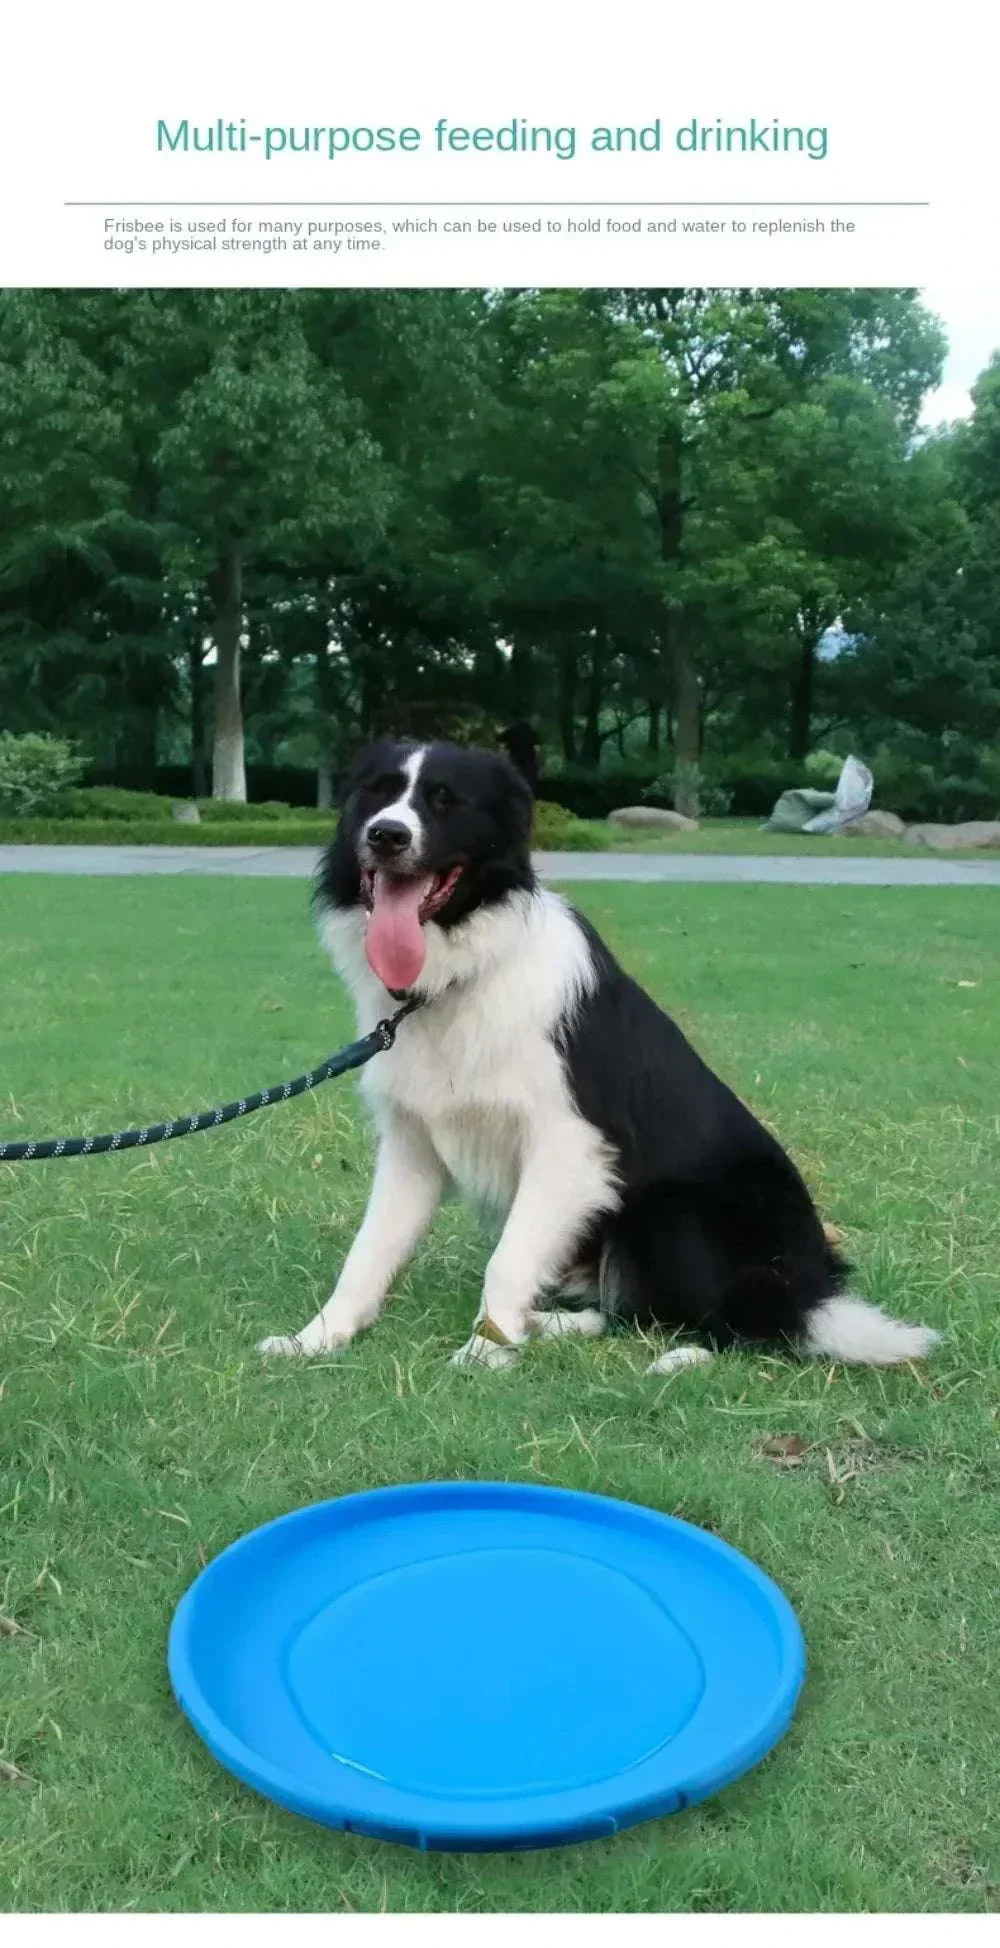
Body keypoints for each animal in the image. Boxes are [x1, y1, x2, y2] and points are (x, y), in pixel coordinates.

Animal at [259, 740, 935, 1371]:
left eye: (445, 800)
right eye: (376, 793)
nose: (386, 834)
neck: (458, 975)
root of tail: (812, 1287)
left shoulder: (571, 1146)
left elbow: (507, 1259)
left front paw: (485, 1353)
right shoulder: (413, 1145)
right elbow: (368, 1251)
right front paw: (317, 1338)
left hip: (673, 1212)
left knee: (735, 1323)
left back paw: (678, 1357)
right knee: (625, 1310)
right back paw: (549, 1325)